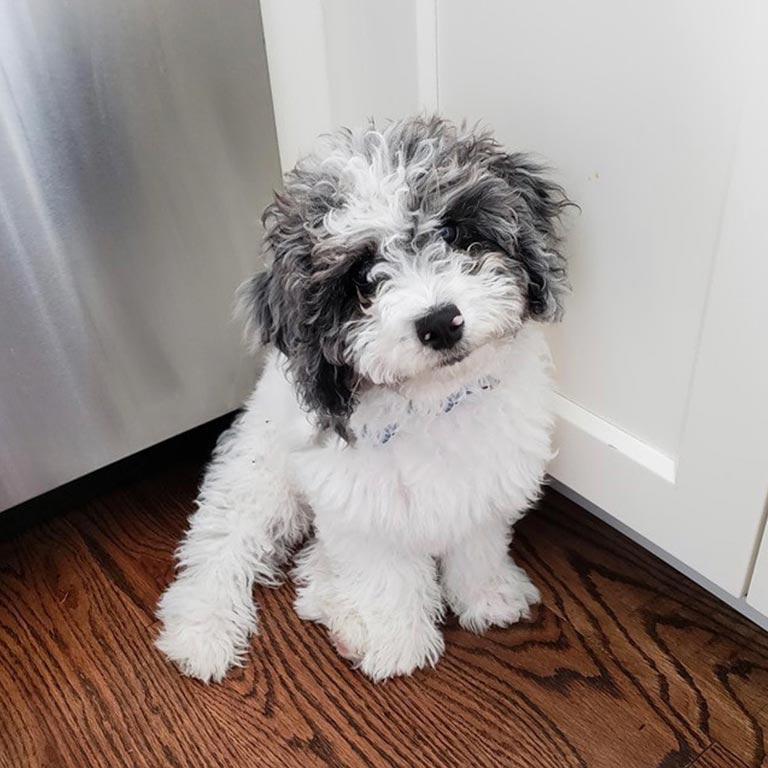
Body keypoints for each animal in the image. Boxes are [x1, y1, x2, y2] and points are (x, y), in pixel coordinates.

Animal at [156, 117, 568, 680]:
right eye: (362, 278)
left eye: (453, 233)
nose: (441, 322)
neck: (432, 403)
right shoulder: (361, 508)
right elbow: (385, 575)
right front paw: (397, 641)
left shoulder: (484, 485)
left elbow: (476, 545)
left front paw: (488, 597)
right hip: (259, 478)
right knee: (222, 543)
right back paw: (203, 630)